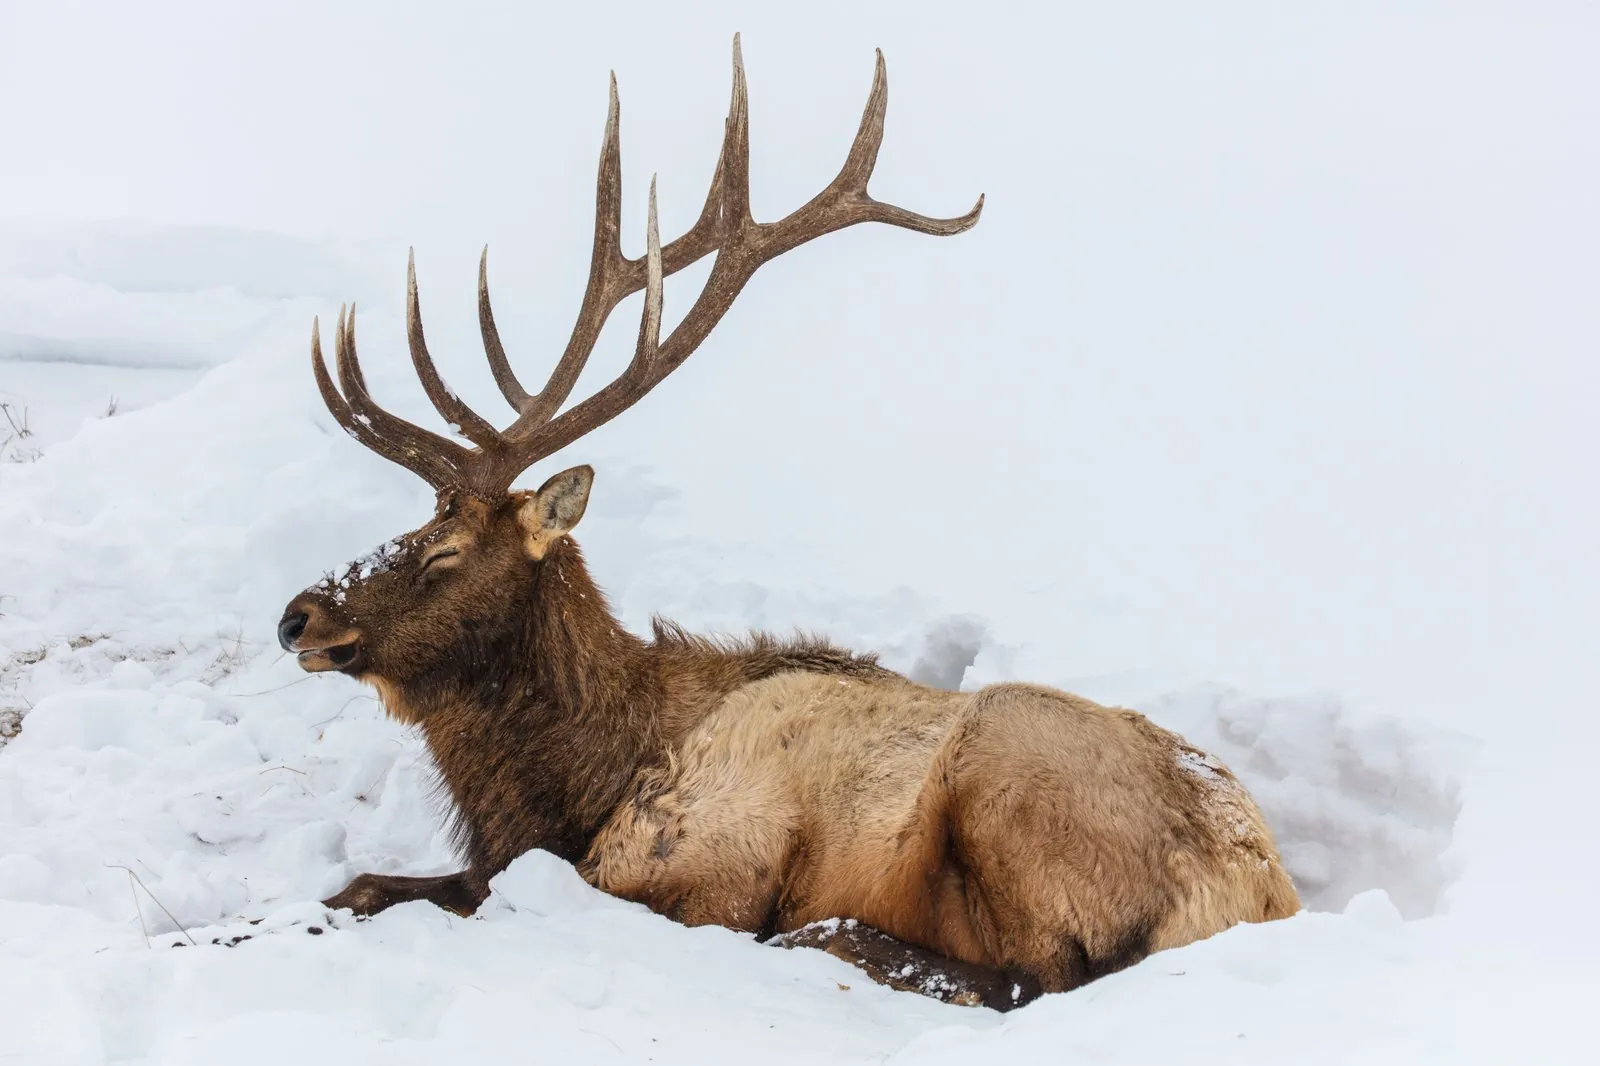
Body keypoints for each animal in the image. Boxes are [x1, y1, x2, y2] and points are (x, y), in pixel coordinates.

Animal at [276, 37, 1300, 1011]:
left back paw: (829, 939)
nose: (297, 615)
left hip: (1009, 770)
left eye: (443, 550)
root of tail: (1260, 894)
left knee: (1030, 980)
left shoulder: (702, 862)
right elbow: (364, 885)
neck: (580, 783)